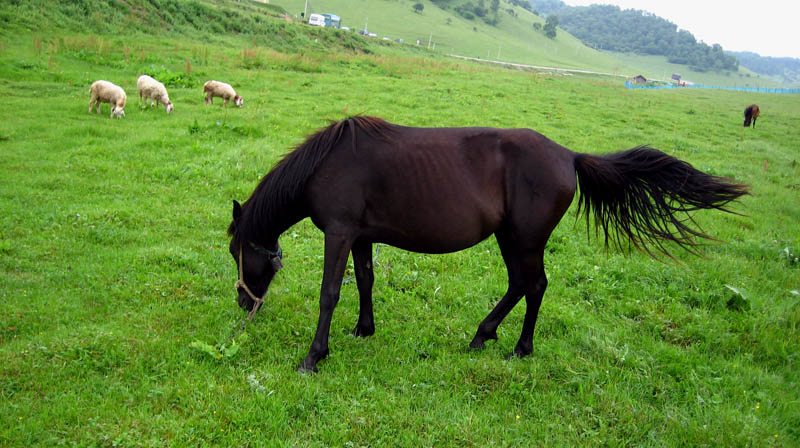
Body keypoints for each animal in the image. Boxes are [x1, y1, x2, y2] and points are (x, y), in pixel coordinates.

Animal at [227, 115, 752, 372]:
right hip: (510, 237)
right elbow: (365, 280)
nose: (243, 303)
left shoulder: (338, 233)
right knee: (524, 285)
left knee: (533, 285)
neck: (327, 163)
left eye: (236, 252)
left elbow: (330, 294)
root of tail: (569, 156)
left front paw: (314, 357)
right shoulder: (359, 236)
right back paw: (493, 338)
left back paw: (508, 344)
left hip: (524, 239)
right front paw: (364, 329)